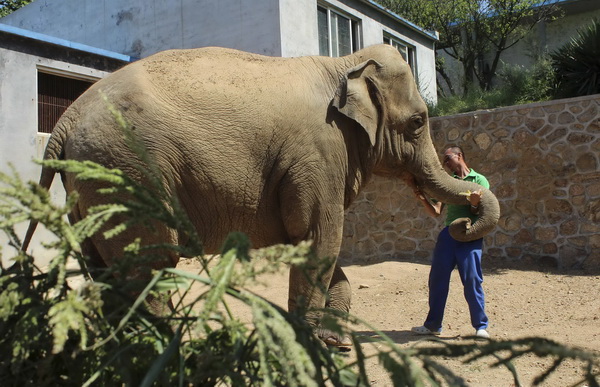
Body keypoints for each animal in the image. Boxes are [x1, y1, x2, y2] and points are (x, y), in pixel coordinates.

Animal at [22, 44, 502, 348]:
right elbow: (320, 238)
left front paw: (334, 340)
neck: (344, 63)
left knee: (108, 267)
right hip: (129, 171)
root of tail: (65, 118)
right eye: (419, 122)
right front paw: (312, 343)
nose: (464, 215)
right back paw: (168, 346)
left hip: (93, 184)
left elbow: (317, 246)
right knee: (150, 262)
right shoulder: (319, 152)